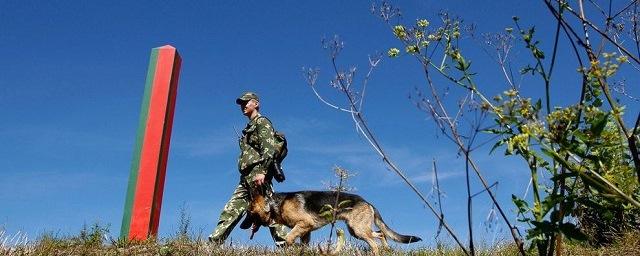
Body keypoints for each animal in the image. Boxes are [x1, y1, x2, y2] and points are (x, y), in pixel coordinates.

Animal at [248, 190, 422, 254]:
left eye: (249, 213)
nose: (244, 226)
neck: (274, 204)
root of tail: (368, 202)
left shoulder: (304, 224)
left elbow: (289, 238)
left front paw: (290, 247)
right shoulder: (306, 231)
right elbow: (302, 244)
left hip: (358, 230)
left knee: (375, 242)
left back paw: (378, 252)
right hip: (355, 230)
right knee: (380, 234)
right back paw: (386, 249)